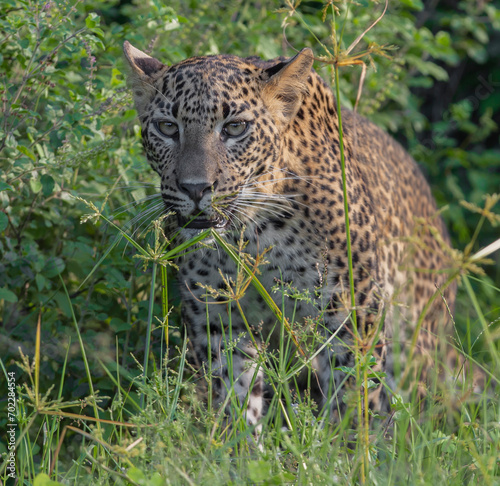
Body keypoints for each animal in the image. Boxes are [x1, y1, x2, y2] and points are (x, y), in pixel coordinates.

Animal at [123, 41, 458, 428]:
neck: (254, 231)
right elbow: (235, 395)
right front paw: (240, 442)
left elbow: (355, 398)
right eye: (167, 127)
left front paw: (350, 441)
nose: (195, 189)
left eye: (235, 128)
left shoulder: (350, 311)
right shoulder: (217, 315)